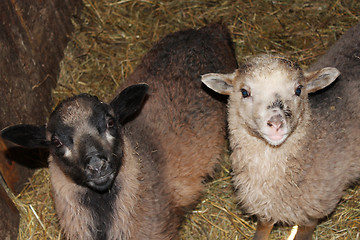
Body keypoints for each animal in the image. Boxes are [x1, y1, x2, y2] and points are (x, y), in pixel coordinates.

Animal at [201, 22, 360, 238]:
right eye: (244, 92)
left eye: (299, 89)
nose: (276, 123)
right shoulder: (265, 207)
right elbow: (262, 230)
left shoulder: (312, 213)